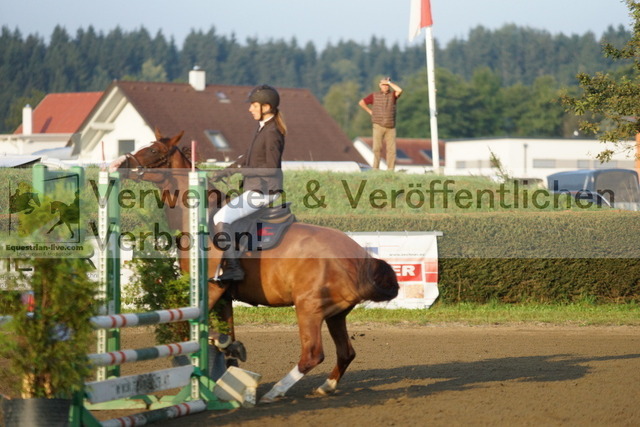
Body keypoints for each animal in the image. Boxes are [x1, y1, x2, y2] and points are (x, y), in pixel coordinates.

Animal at [111, 130, 399, 403]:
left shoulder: (210, 289)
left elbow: (187, 327)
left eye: (153, 150)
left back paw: (276, 392)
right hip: (335, 314)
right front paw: (229, 352)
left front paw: (218, 348)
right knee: (346, 352)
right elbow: (224, 334)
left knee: (313, 354)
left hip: (309, 308)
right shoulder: (224, 296)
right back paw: (325, 386)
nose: (121, 164)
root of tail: (360, 256)